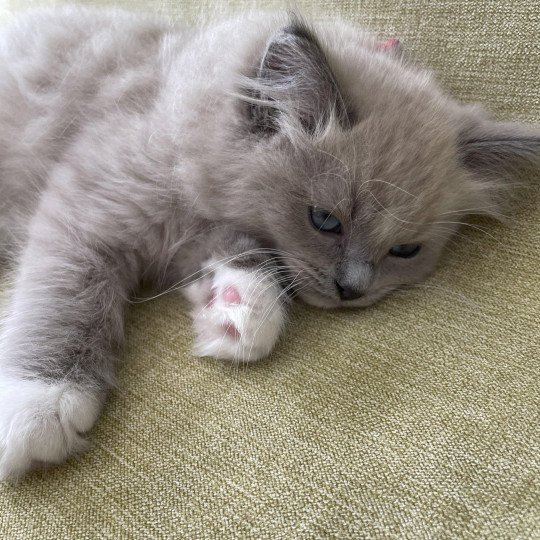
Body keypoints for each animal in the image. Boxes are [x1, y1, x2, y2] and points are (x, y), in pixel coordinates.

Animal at [1, 7, 540, 480]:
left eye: (405, 252)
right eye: (325, 220)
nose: (352, 291)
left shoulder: (208, 228)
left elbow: (247, 257)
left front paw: (241, 309)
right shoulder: (89, 212)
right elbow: (67, 303)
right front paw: (40, 404)